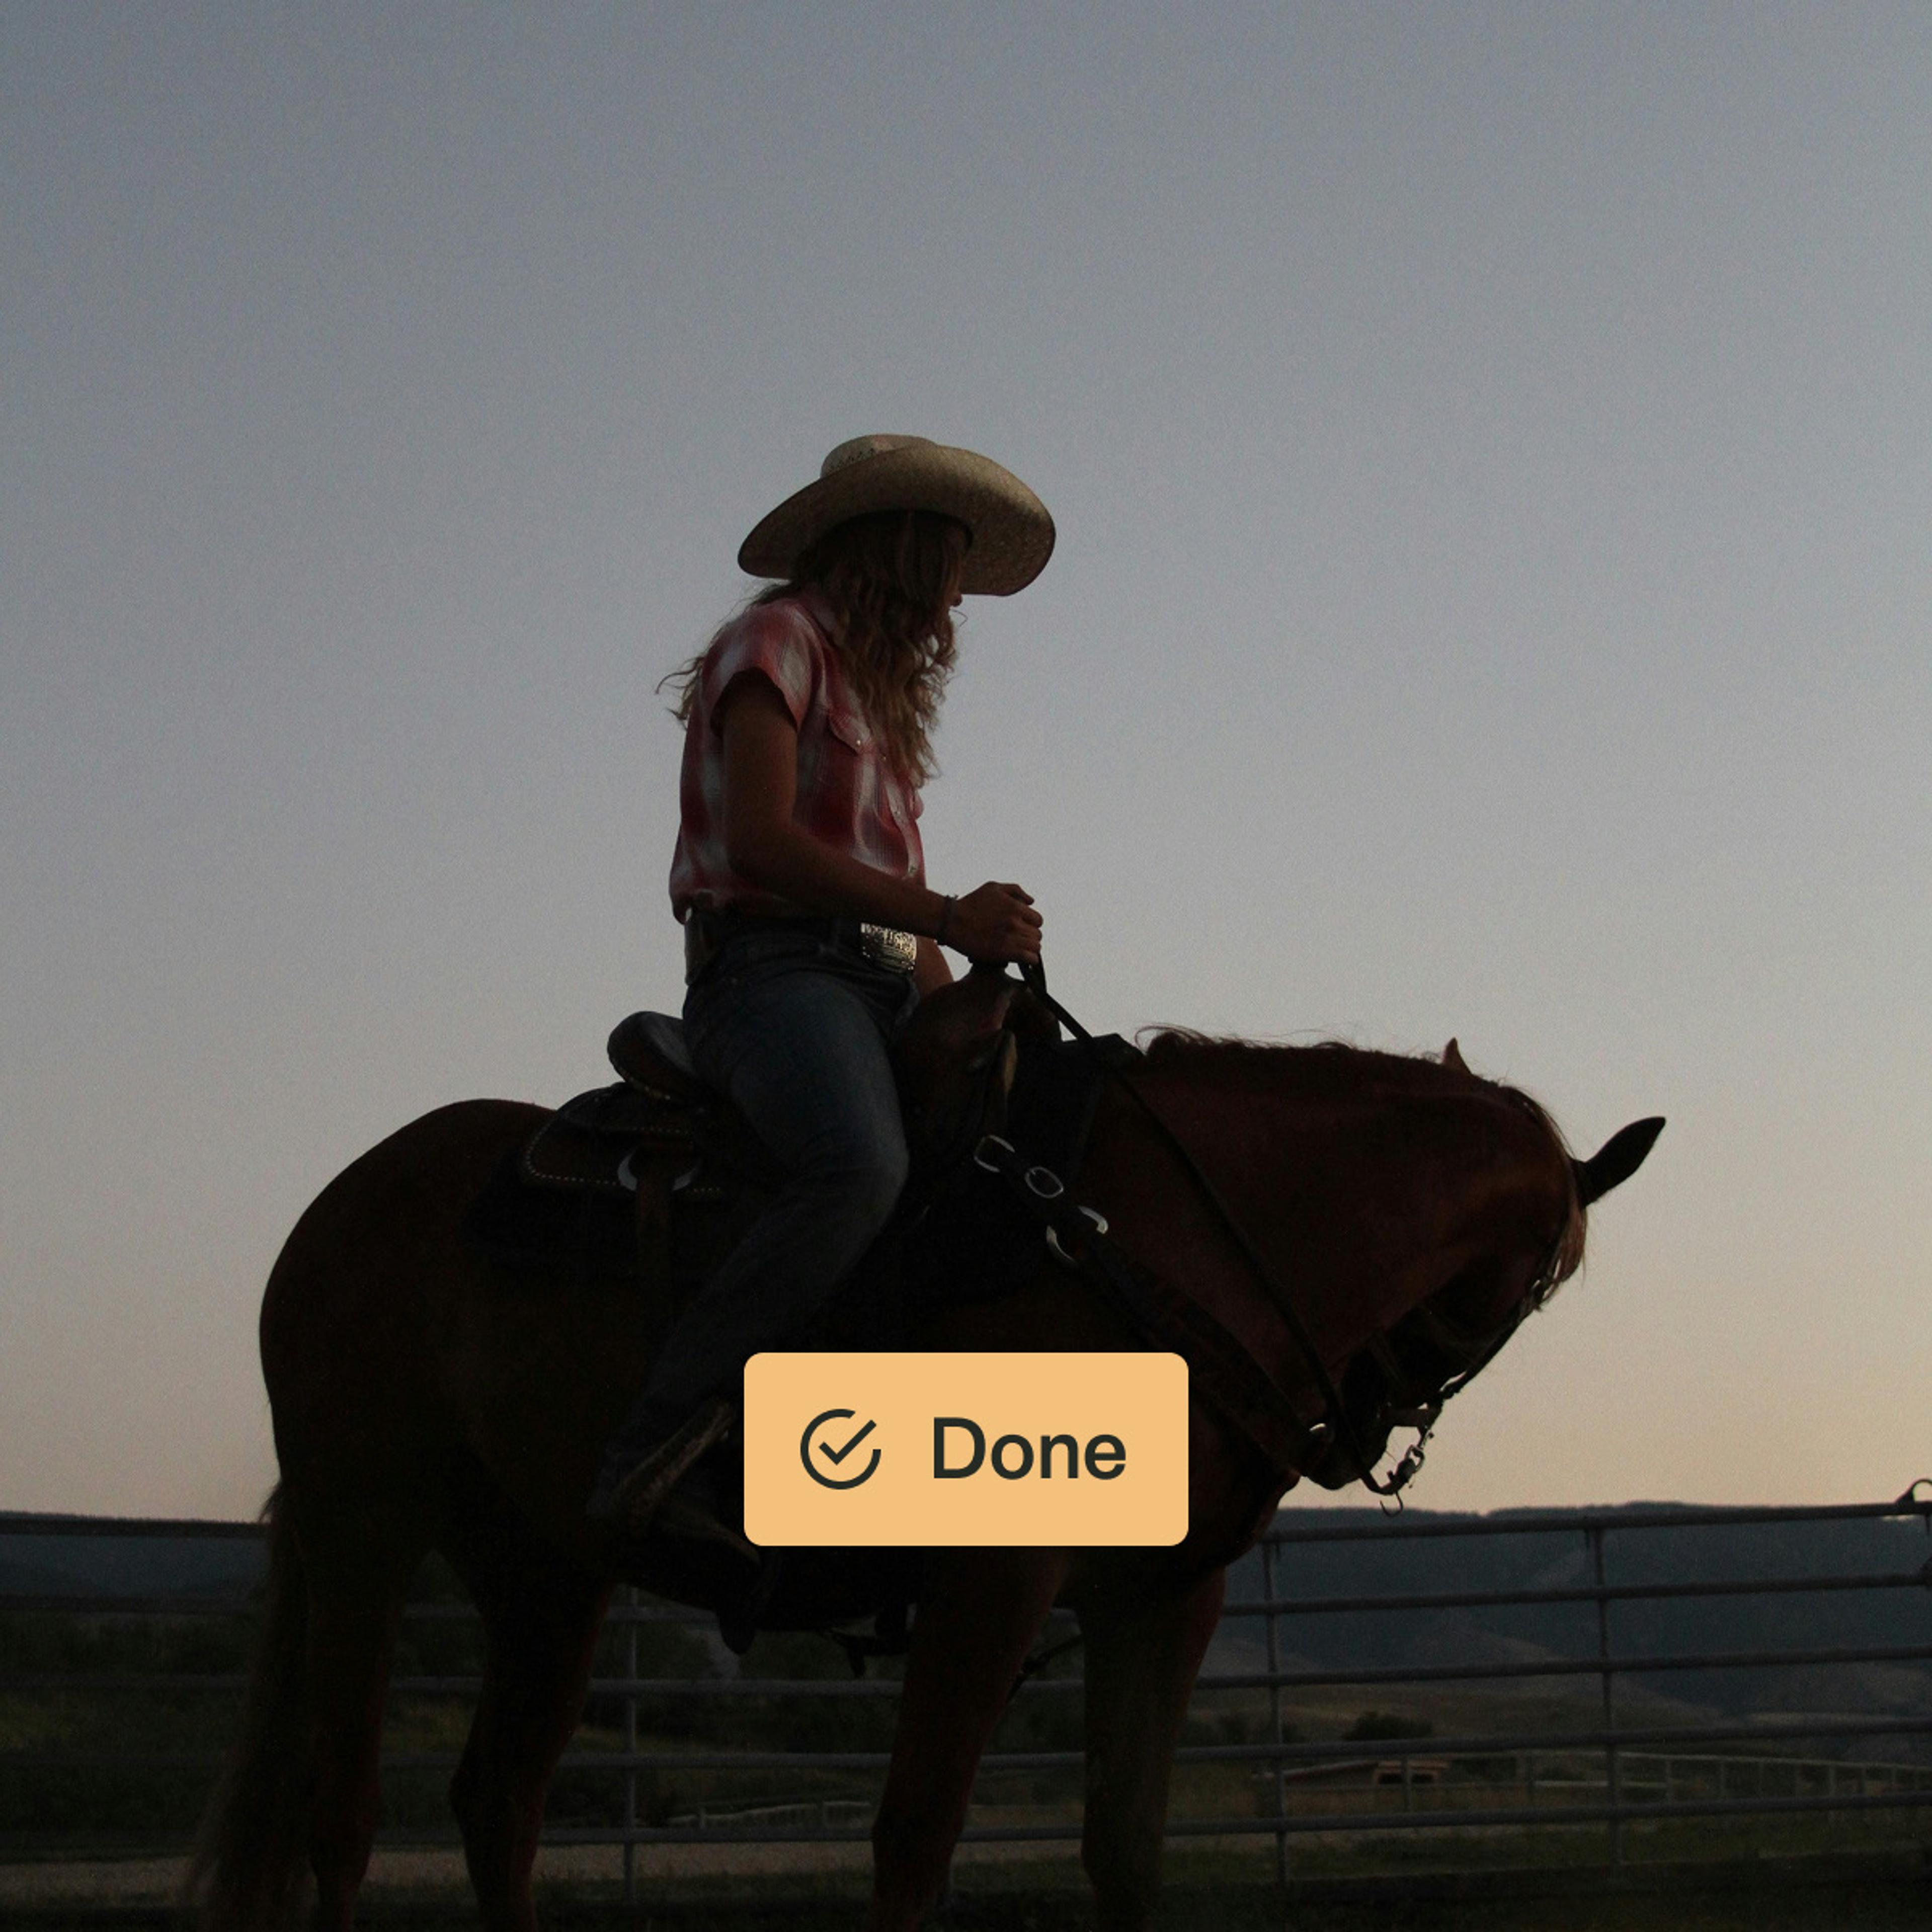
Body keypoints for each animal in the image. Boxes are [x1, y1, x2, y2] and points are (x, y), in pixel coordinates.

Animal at [188, 976, 1662, 1932]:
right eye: (1537, 1285)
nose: (1348, 1425)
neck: (1145, 1237)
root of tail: (346, 1198)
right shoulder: (993, 1579)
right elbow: (912, 1842)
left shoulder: (1162, 1601)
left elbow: (1123, 1850)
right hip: (366, 1526)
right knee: (340, 1814)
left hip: (548, 1569)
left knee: (499, 1801)